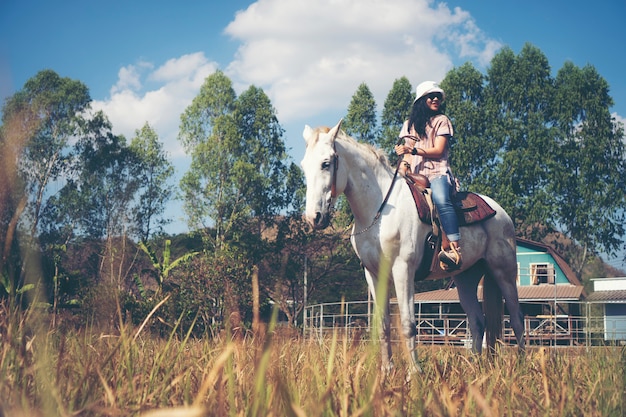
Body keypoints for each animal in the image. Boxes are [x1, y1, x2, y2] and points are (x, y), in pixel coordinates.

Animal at [300, 120, 524, 370]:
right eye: (304, 167)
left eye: (325, 163)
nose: (313, 217)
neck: (379, 210)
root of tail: (500, 212)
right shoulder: (373, 275)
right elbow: (383, 324)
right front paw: (387, 370)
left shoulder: (403, 270)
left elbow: (408, 325)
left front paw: (414, 372)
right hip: (466, 278)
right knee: (477, 321)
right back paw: (474, 367)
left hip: (504, 271)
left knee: (517, 318)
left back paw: (523, 365)